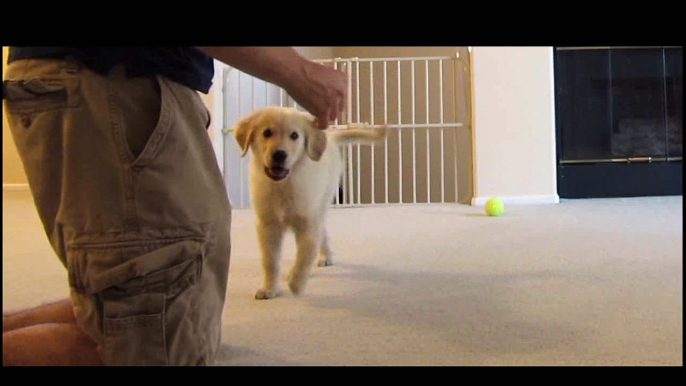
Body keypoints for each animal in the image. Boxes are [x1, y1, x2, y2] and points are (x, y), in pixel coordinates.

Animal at [235, 107, 388, 300]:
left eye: (294, 136)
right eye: (267, 132)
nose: (280, 155)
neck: (284, 184)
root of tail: (330, 137)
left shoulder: (307, 223)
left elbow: (304, 256)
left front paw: (296, 284)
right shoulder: (267, 225)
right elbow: (270, 261)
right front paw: (269, 288)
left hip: (322, 201)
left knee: (320, 232)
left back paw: (325, 257)